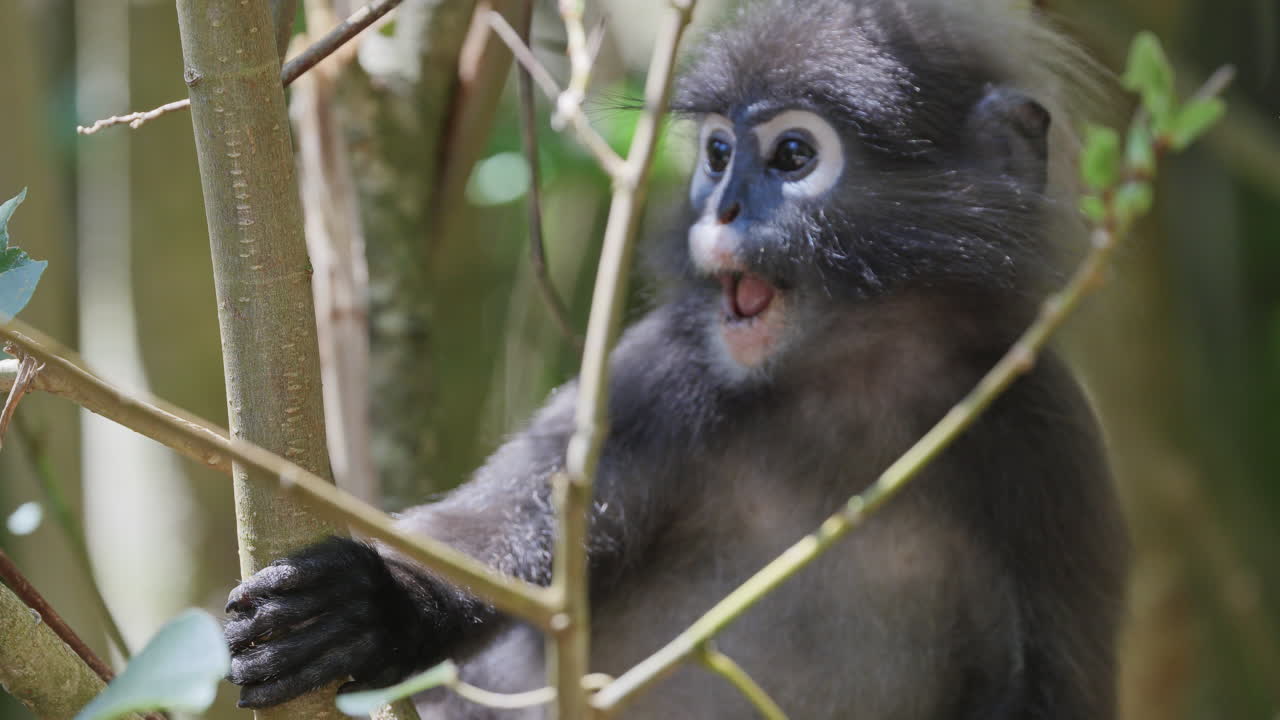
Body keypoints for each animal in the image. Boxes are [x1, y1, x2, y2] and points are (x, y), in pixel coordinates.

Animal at [224, 0, 1129, 717]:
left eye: (793, 156)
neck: (852, 376)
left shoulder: (1041, 427)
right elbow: (502, 539)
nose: (720, 206)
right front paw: (374, 606)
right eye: (719, 154)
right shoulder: (657, 377)